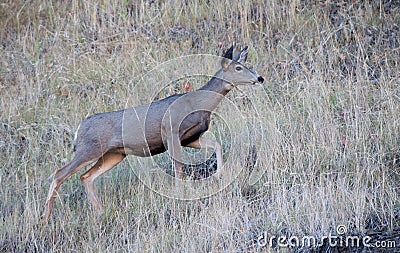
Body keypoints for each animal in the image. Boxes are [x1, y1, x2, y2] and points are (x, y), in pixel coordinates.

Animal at [43, 43, 264, 219]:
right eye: (239, 67)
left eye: (248, 66)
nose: (260, 78)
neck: (199, 104)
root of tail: (79, 128)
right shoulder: (171, 132)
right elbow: (178, 167)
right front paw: (180, 194)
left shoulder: (190, 138)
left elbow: (215, 144)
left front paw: (219, 174)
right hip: (89, 149)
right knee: (59, 173)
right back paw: (45, 217)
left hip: (114, 154)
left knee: (86, 177)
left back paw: (99, 211)